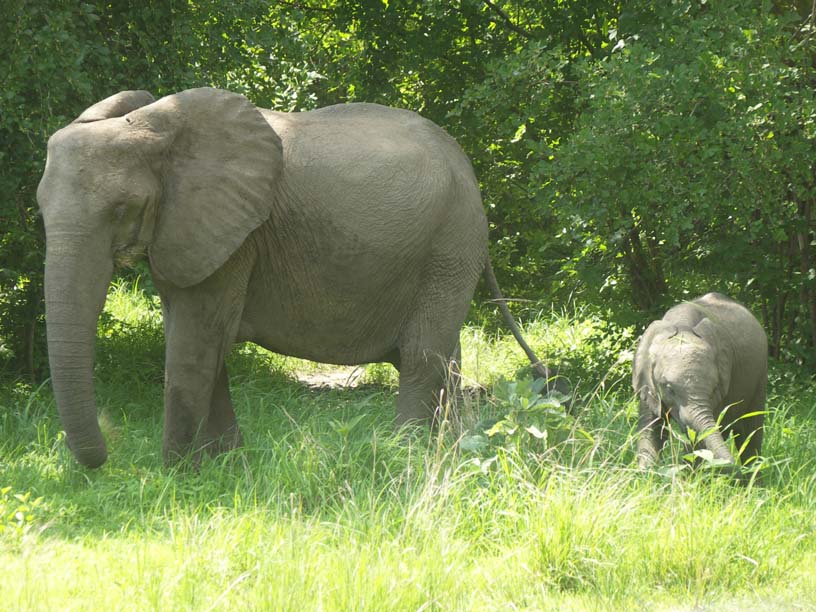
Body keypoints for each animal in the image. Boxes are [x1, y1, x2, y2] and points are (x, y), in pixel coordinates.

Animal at [39, 87, 560, 468]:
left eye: (121, 209)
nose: (102, 463)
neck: (161, 129)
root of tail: (467, 167)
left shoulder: (235, 233)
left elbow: (195, 343)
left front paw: (173, 476)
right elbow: (204, 339)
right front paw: (227, 464)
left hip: (450, 243)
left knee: (420, 354)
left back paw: (405, 454)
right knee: (444, 356)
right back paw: (451, 449)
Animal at [636, 292, 768, 468]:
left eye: (714, 389)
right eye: (669, 389)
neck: (683, 325)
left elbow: (699, 437)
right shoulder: (646, 380)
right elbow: (651, 427)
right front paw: (645, 472)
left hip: (760, 375)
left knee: (750, 433)